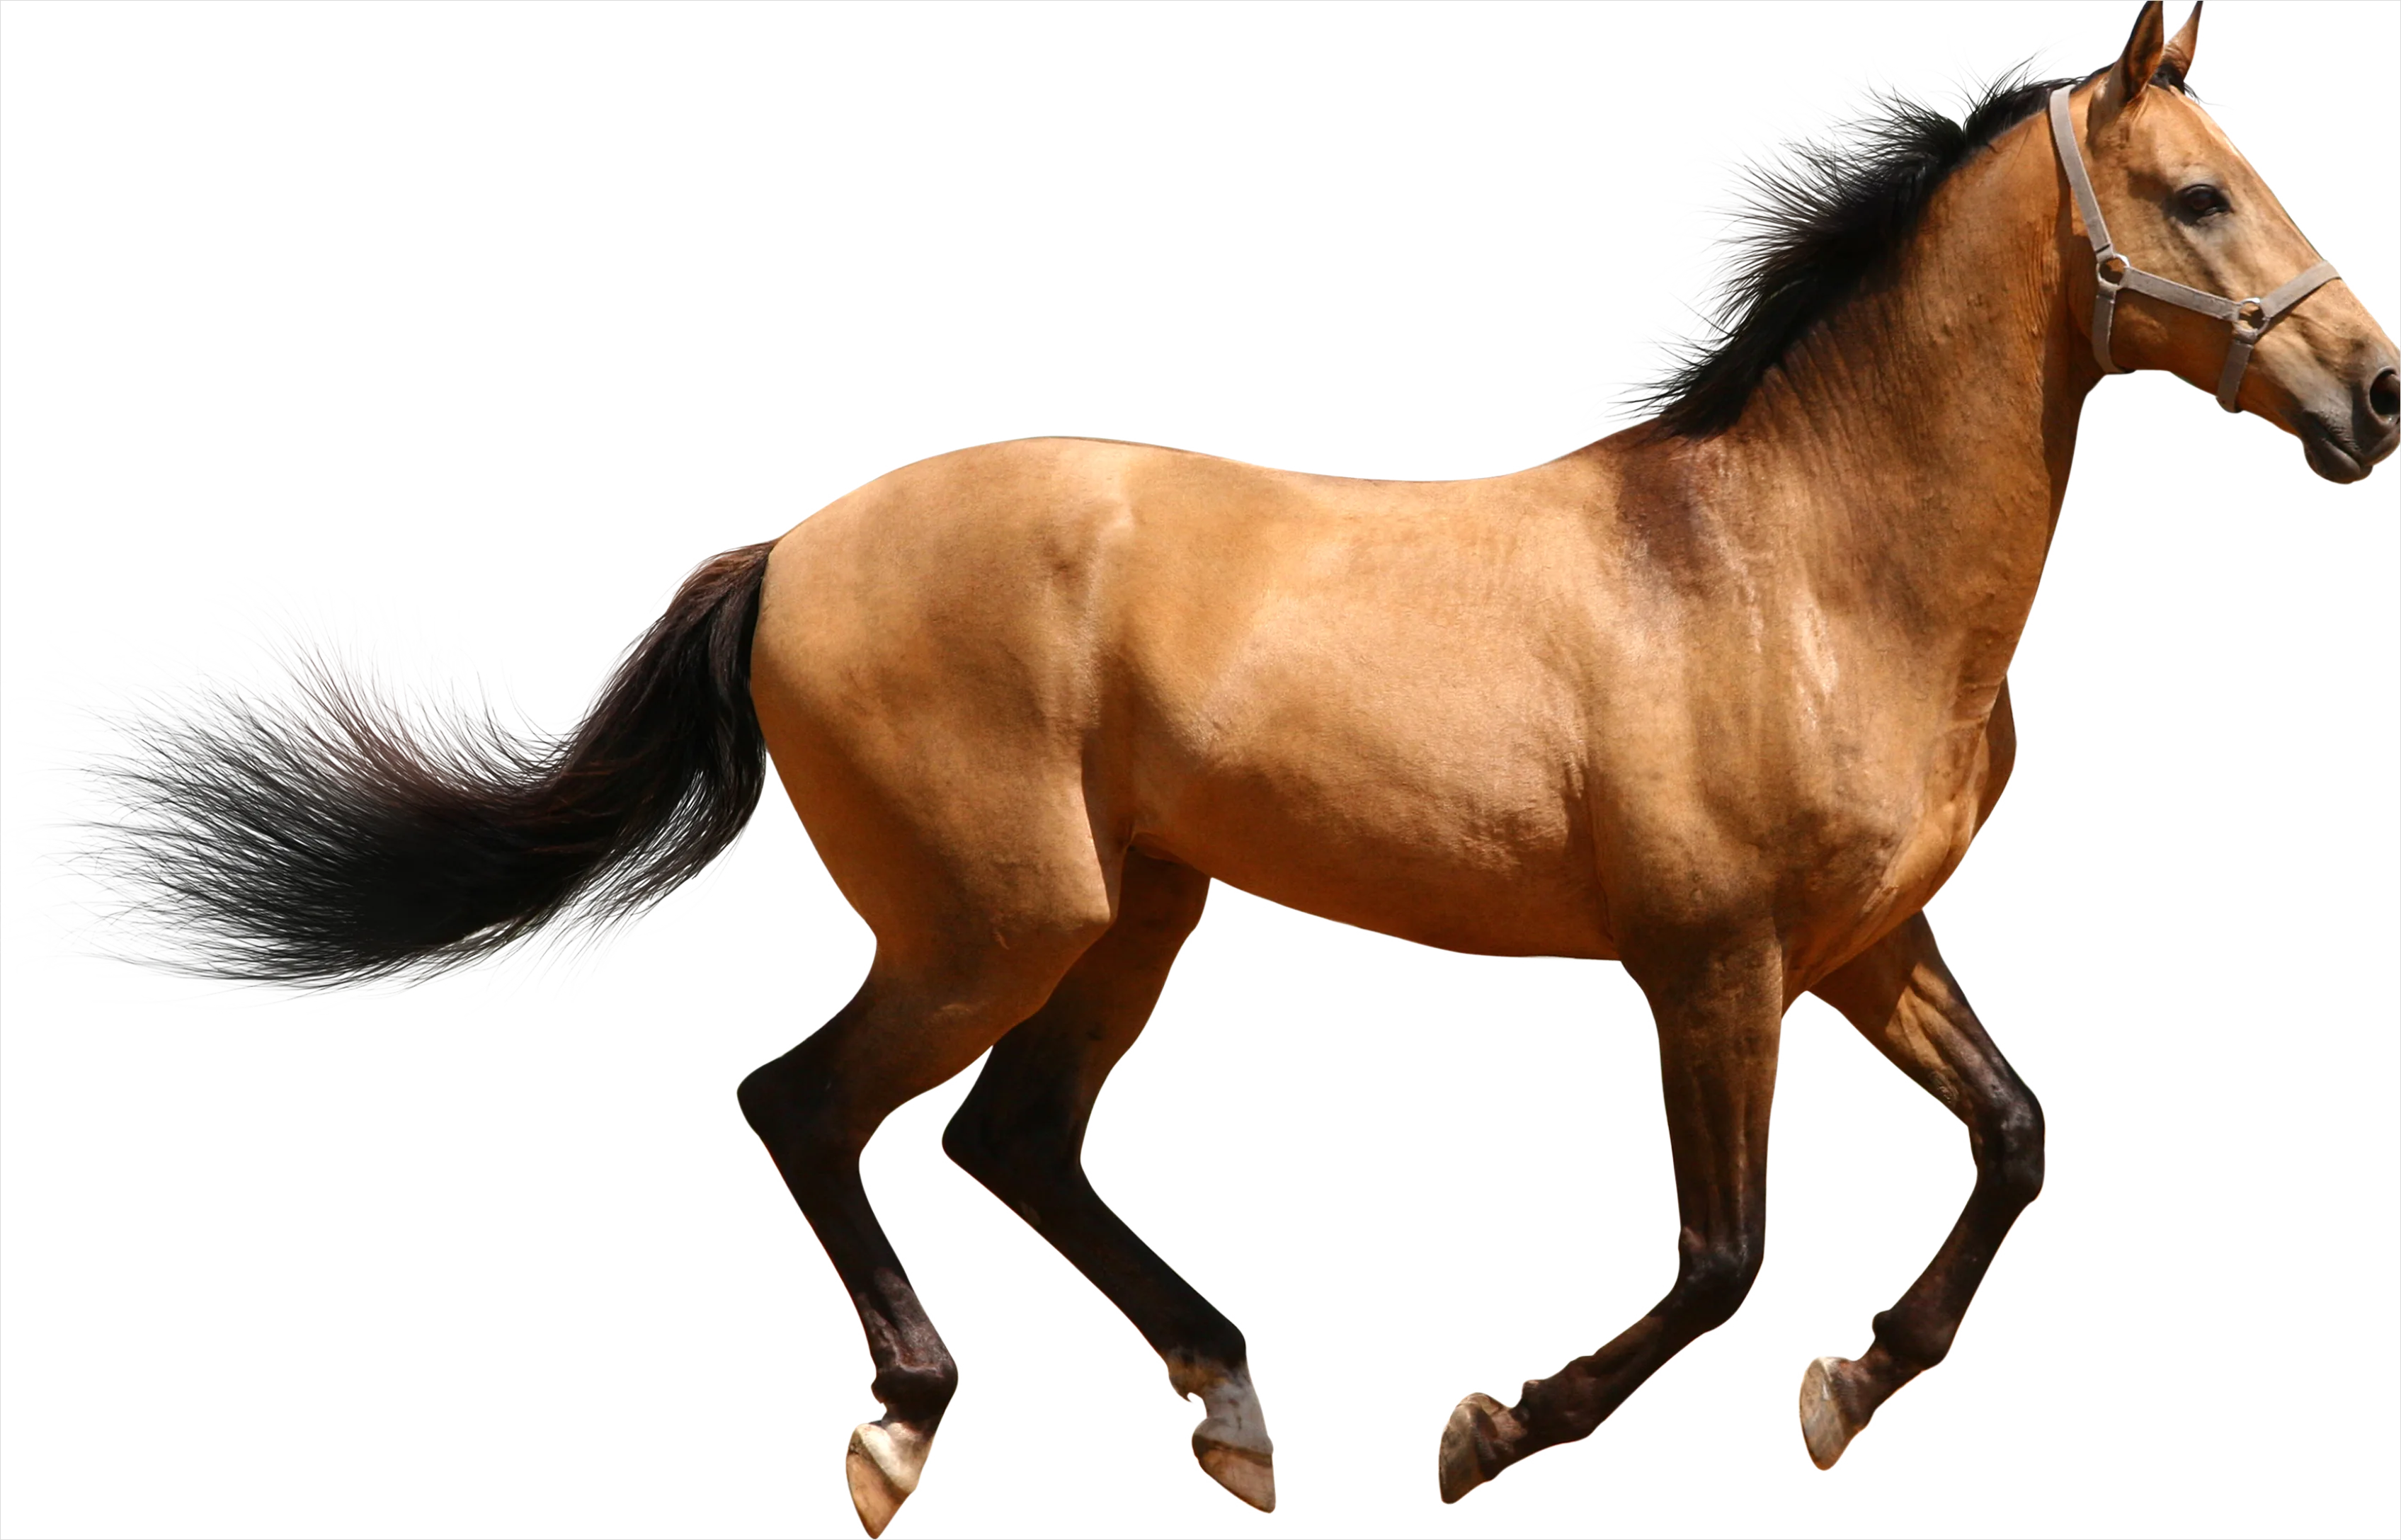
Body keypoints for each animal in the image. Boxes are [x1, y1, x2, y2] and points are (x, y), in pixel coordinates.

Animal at [10, 4, 2394, 1532]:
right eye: (2195, 193)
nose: (2371, 391)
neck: (1794, 560)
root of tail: (787, 549)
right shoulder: (1706, 959)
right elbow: (1722, 1247)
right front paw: (1486, 1427)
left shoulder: (1867, 939)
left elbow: (2012, 1140)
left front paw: (1838, 1389)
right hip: (1006, 911)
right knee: (814, 1101)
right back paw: (907, 1427)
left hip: (1133, 906)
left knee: (1010, 1137)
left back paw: (1230, 1406)